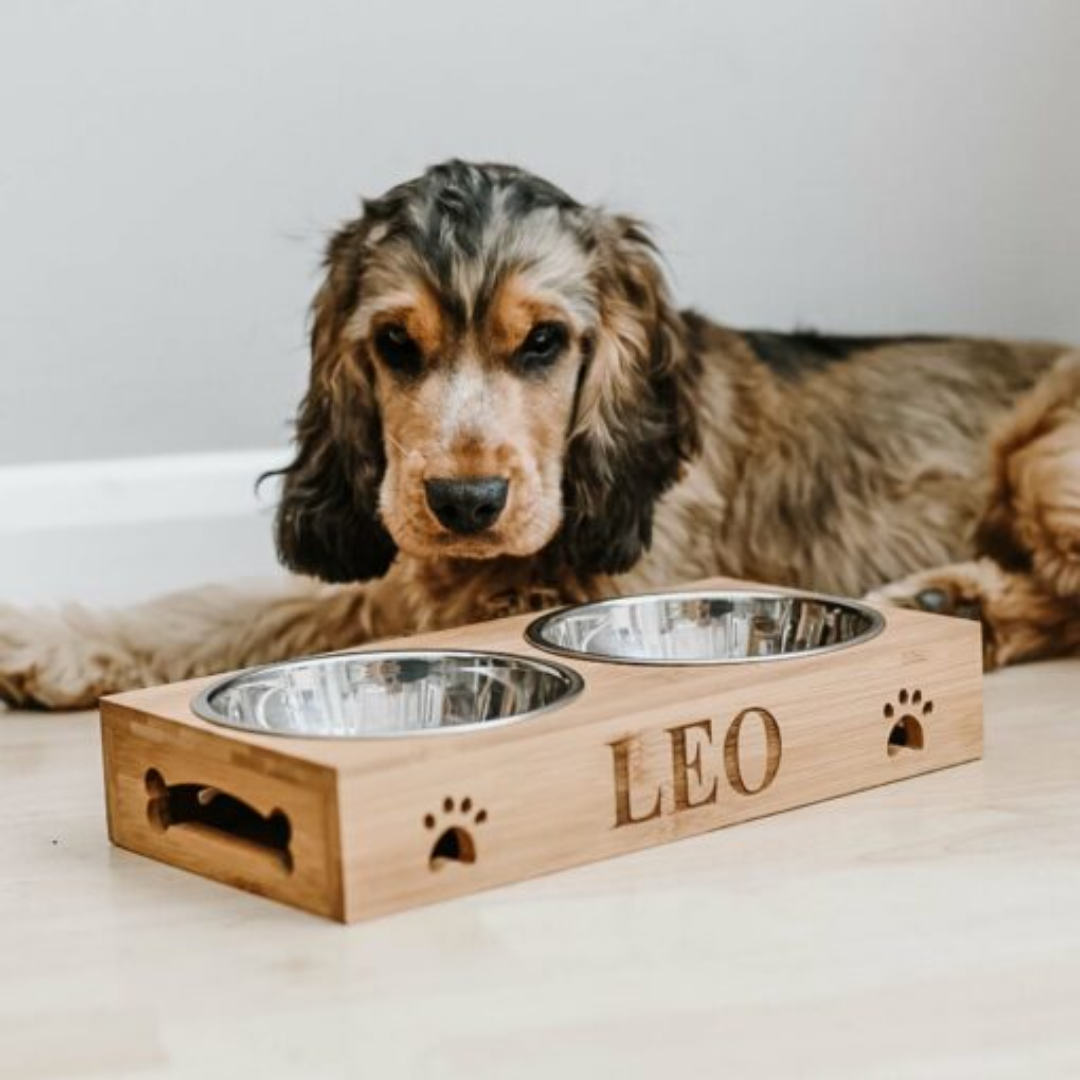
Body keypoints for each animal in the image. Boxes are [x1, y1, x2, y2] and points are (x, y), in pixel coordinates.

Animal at [2, 156, 1080, 704]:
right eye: (394, 343)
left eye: (545, 342)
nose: (465, 502)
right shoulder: (397, 580)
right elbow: (215, 606)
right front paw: (48, 643)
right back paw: (956, 603)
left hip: (1042, 460)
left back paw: (961, 605)